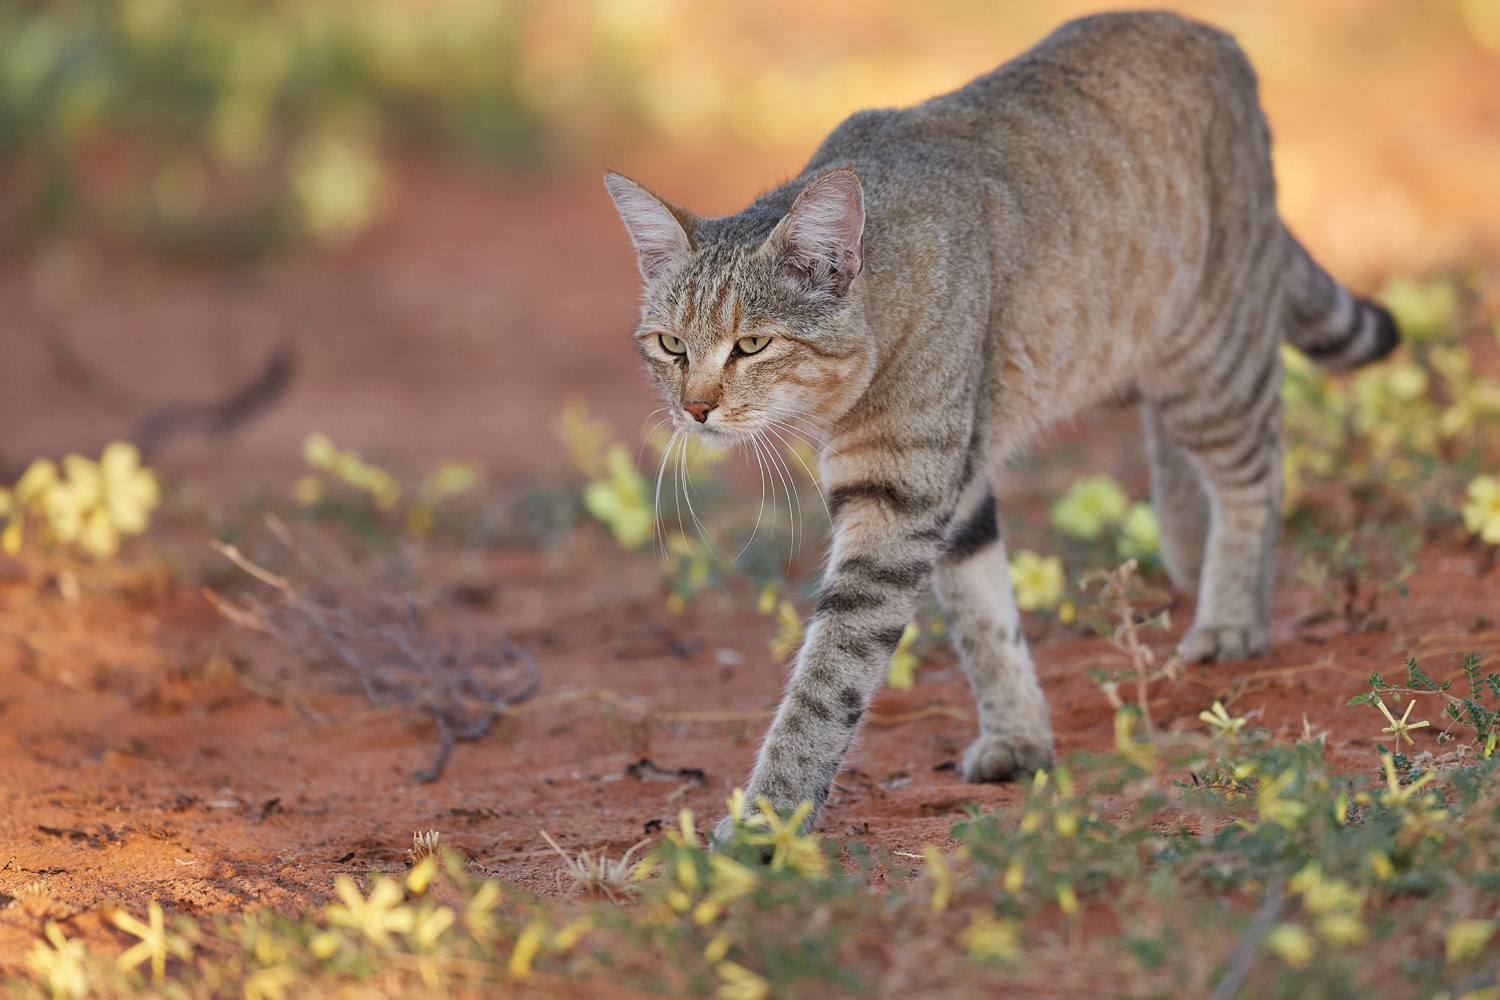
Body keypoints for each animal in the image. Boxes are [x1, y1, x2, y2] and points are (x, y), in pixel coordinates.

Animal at [603, 9, 1398, 839]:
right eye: (670, 345)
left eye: (752, 345)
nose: (694, 408)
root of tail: (1212, 32)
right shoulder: (953, 484)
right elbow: (986, 618)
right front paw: (1019, 735)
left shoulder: (899, 502)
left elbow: (827, 684)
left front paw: (766, 822)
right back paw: (1184, 536)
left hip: (1210, 351)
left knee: (1258, 464)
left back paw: (1232, 613)